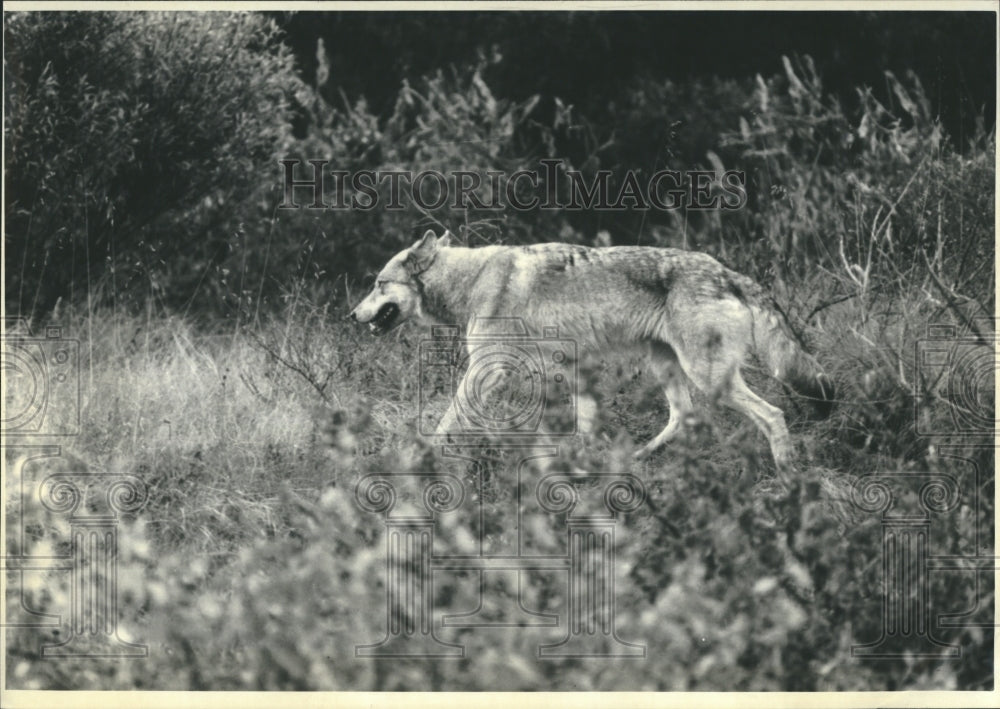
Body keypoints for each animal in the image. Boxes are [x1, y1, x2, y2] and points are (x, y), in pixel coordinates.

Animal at [348, 230, 832, 468]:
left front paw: (422, 457)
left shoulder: (488, 369)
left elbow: (449, 420)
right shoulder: (574, 368)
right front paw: (577, 465)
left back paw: (788, 475)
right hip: (668, 368)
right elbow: (578, 429)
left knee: (773, 415)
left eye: (378, 284)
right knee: (683, 417)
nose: (352, 315)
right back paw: (636, 458)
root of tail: (728, 272)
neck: (471, 281)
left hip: (709, 378)